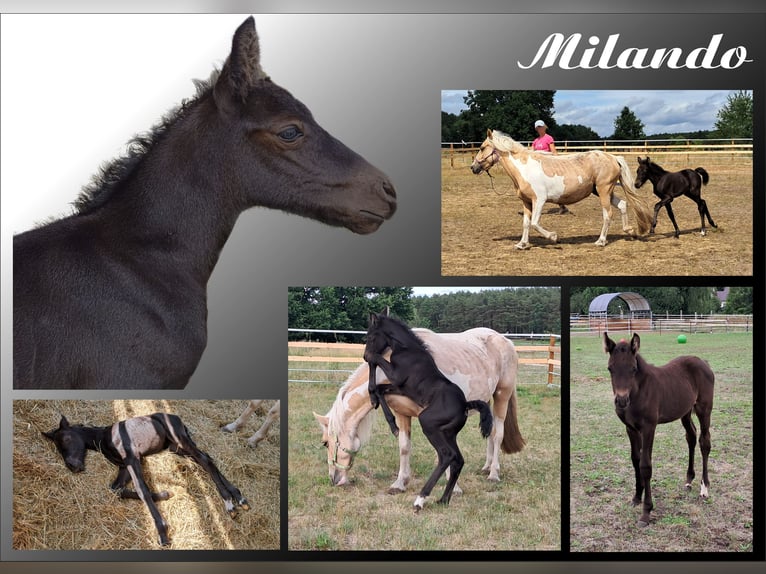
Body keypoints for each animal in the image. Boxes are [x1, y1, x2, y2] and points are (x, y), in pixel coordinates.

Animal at [43, 412, 248, 546]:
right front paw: (165, 494)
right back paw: (238, 498)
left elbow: (142, 490)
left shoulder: (133, 459)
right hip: (176, 447)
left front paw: (162, 531)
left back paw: (229, 502)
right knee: (205, 458)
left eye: (66, 439)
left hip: (179, 439)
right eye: (57, 447)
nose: (72, 466)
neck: (105, 438)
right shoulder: (124, 466)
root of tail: (176, 418)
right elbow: (116, 489)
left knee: (204, 460)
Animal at [313, 326, 525, 504]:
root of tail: (506, 340)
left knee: (497, 435)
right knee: (489, 432)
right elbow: (404, 447)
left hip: (502, 396)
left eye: (325, 443)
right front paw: (400, 483)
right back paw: (487, 466)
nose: (334, 479)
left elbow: (445, 455)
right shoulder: (402, 413)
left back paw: (494, 473)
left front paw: (454, 488)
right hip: (487, 400)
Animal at [471, 129, 652, 249]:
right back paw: (630, 231)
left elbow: (535, 223)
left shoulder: (539, 200)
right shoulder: (527, 202)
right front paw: (522, 244)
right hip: (604, 191)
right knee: (622, 205)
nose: (473, 167)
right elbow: (526, 223)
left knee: (607, 215)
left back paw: (601, 241)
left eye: (481, 148)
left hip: (604, 191)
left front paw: (553, 237)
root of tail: (613, 157)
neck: (524, 169)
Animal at [603, 333, 714, 527]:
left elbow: (645, 465)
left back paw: (704, 487)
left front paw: (646, 512)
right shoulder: (630, 428)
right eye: (610, 368)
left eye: (633, 369)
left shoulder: (649, 427)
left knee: (704, 442)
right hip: (685, 411)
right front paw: (636, 497)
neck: (639, 391)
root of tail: (703, 362)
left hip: (704, 409)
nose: (622, 401)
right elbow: (635, 460)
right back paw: (689, 480)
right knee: (691, 436)